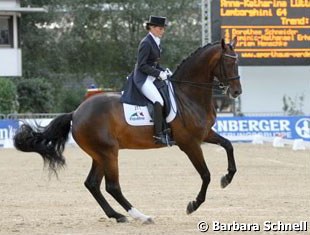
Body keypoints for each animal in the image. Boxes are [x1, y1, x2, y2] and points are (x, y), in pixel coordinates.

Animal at [13, 36, 242, 224]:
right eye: (229, 62)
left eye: (237, 61)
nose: (237, 92)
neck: (188, 94)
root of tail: (76, 113)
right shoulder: (189, 143)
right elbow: (206, 174)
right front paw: (193, 205)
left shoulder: (204, 135)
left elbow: (228, 146)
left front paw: (227, 178)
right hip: (108, 152)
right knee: (112, 186)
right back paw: (141, 216)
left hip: (100, 154)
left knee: (92, 184)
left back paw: (117, 215)